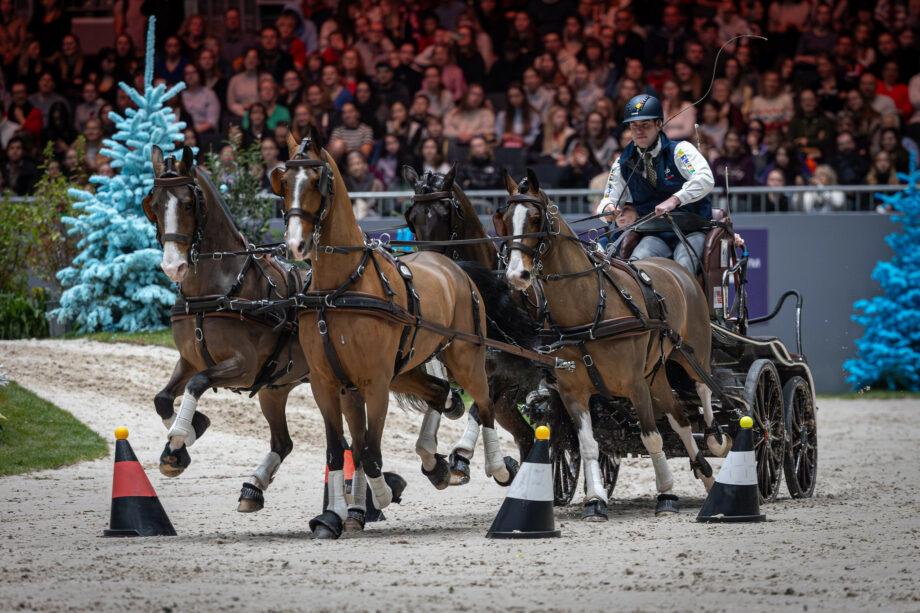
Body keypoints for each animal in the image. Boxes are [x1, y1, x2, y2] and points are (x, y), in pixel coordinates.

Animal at [140, 146, 362, 512]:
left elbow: (197, 384)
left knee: (353, 441)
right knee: (284, 443)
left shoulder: (243, 367)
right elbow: (162, 398)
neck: (220, 288)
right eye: (154, 205)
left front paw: (181, 437)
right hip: (275, 388)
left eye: (188, 204)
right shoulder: (190, 360)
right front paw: (183, 440)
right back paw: (253, 487)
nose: (173, 266)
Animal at [272, 136, 516, 536]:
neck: (340, 288)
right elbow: (339, 450)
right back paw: (438, 461)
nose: (294, 244)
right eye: (284, 181)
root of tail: (452, 266)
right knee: (443, 393)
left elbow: (370, 453)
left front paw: (382, 495)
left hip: (465, 358)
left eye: (316, 182)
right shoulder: (328, 384)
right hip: (406, 369)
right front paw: (334, 516)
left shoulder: (375, 384)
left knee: (483, 404)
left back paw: (493, 466)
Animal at [402, 164, 548, 482]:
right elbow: (441, 388)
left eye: (447, 212)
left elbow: (479, 406)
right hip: (508, 405)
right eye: (412, 217)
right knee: (526, 436)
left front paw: (463, 454)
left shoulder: (506, 372)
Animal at [496, 170, 724, 520]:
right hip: (655, 375)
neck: (588, 308)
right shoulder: (572, 391)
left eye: (535, 218)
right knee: (680, 418)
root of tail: (678, 269)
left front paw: (666, 495)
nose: (515, 276)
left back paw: (713, 440)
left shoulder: (634, 384)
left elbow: (652, 438)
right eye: (506, 220)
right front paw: (595, 501)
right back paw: (706, 474)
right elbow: (589, 445)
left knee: (702, 389)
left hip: (692, 352)